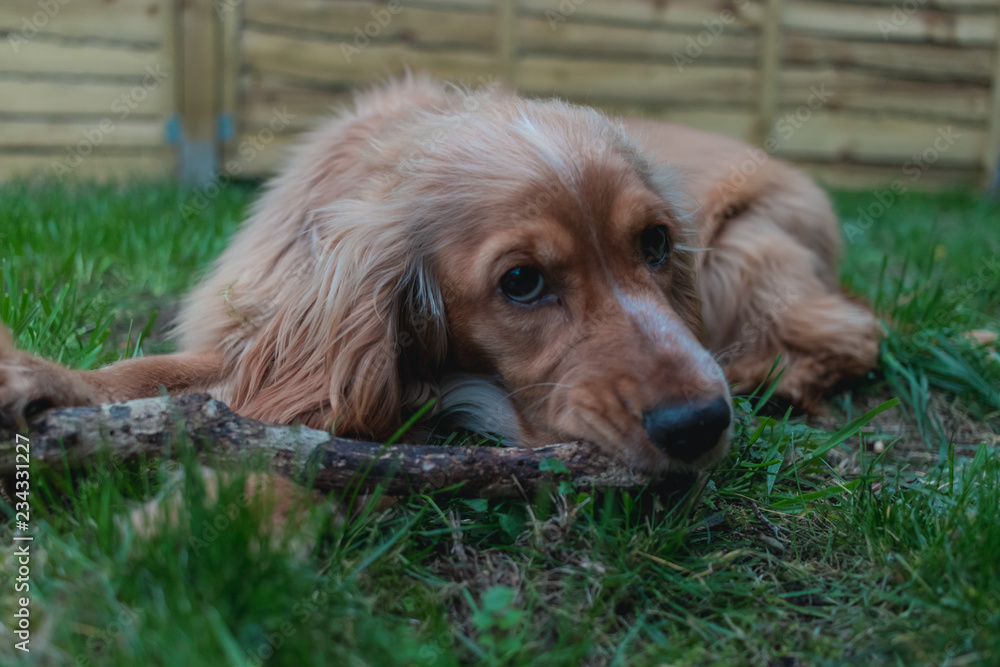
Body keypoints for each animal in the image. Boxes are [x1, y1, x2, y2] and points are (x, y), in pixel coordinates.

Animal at [0, 75, 880, 472]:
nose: (700, 423)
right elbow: (161, 371)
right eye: (521, 282)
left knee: (850, 333)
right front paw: (43, 376)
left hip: (747, 247)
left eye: (658, 243)